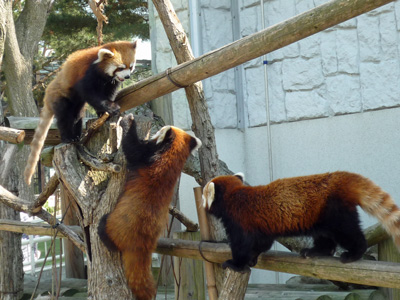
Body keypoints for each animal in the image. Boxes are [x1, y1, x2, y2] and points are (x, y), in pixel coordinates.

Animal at [25, 39, 138, 185]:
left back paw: (77, 135)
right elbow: (90, 93)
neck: (100, 71)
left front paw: (103, 112)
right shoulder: (85, 75)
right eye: (120, 67)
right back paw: (68, 137)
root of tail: (48, 93)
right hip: (60, 97)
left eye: (131, 66)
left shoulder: (109, 82)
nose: (127, 76)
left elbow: (109, 92)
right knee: (65, 117)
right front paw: (111, 107)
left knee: (77, 116)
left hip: (76, 105)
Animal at [97, 117, 203, 300]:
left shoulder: (146, 156)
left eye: (160, 129)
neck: (172, 156)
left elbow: (131, 148)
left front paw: (128, 122)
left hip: (114, 225)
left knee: (103, 226)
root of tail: (140, 244)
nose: (157, 127)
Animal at [203, 171, 400, 272]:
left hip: (333, 213)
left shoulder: (240, 220)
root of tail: (338, 178)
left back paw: (353, 253)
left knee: (347, 232)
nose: (201, 203)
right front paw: (252, 258)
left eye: (204, 195)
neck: (233, 197)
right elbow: (262, 243)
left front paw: (235, 263)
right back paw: (316, 251)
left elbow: (242, 245)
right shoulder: (261, 227)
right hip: (318, 217)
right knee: (325, 237)